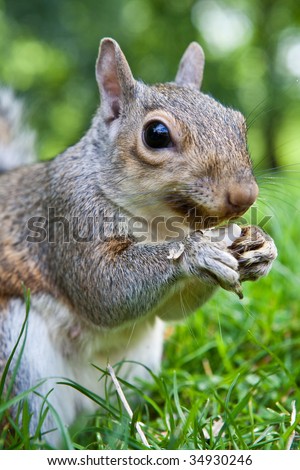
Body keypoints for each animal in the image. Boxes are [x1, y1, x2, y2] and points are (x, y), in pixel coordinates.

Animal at [0, 39, 276, 444]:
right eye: (156, 134)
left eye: (238, 122)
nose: (245, 196)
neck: (160, 224)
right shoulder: (65, 219)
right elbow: (103, 291)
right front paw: (197, 253)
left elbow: (171, 310)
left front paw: (262, 246)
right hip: (20, 363)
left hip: (138, 367)